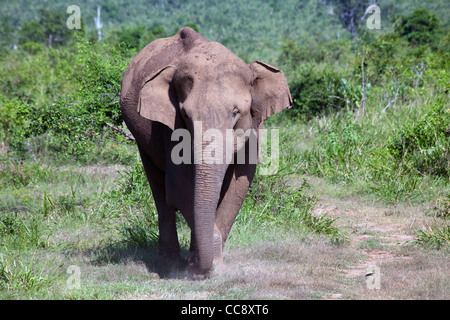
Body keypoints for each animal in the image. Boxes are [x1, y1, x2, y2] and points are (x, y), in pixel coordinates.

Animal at [119, 27, 292, 278]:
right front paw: (199, 267)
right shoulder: (168, 129)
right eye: (185, 115)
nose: (195, 266)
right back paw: (169, 265)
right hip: (142, 139)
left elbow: (238, 185)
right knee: (159, 190)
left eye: (236, 113)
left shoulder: (253, 128)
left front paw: (214, 267)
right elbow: (179, 185)